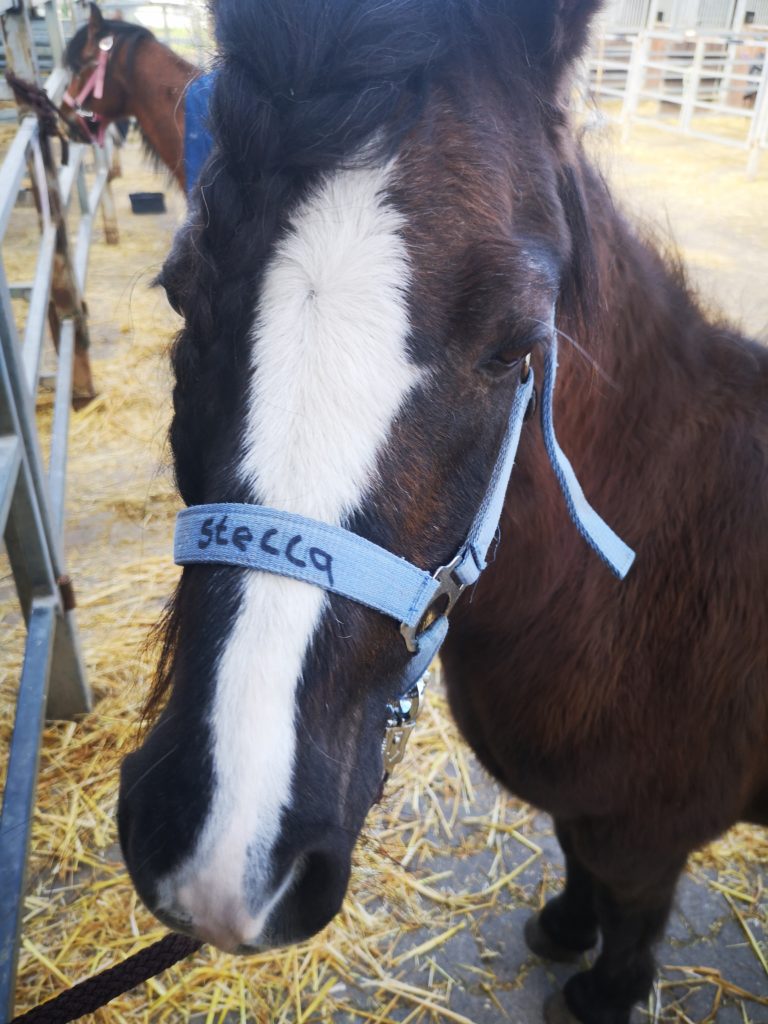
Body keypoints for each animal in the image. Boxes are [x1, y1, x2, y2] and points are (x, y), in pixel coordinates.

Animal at [114, 2, 768, 1024]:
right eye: (182, 287)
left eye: (514, 346)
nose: (226, 849)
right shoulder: (590, 817)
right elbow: (577, 861)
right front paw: (563, 928)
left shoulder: (648, 840)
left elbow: (631, 922)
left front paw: (597, 987)